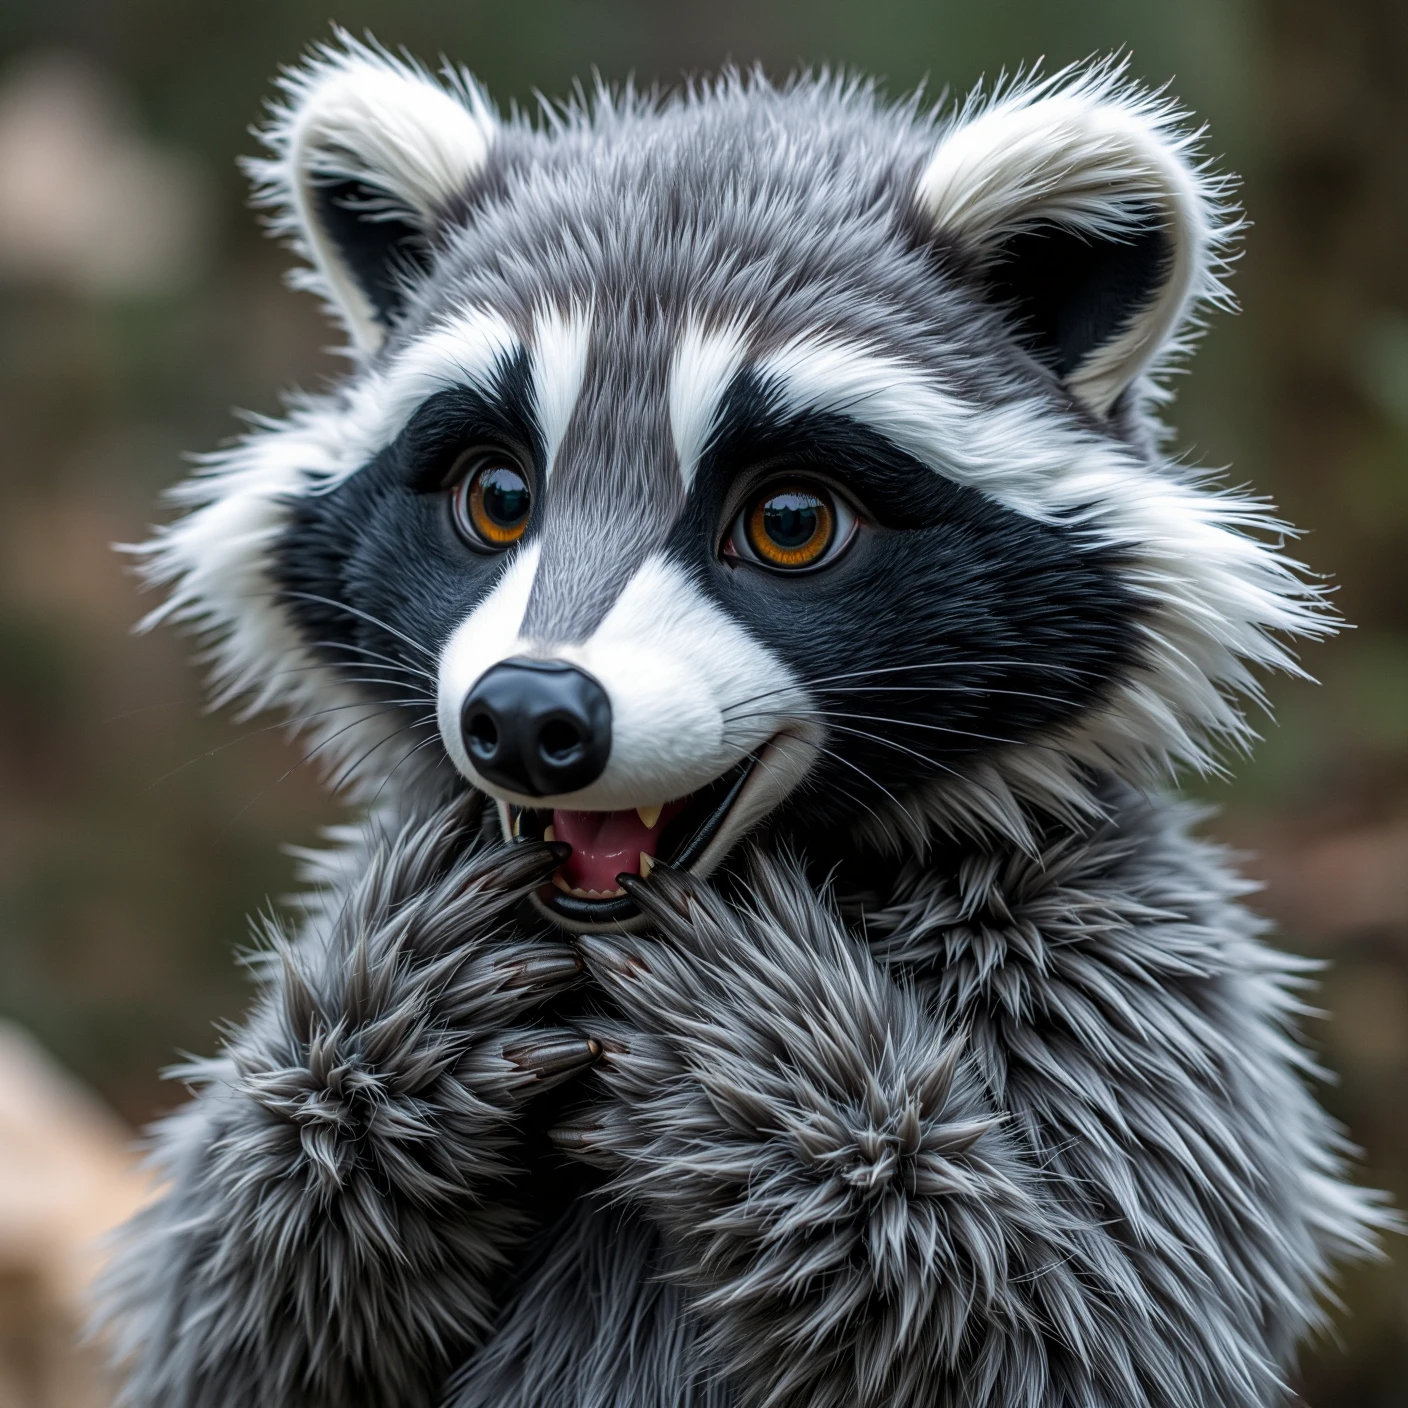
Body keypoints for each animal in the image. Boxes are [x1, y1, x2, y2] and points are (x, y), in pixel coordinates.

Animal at [99, 30, 1385, 1408]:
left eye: (789, 522)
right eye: (497, 496)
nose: (528, 714)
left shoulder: (1136, 986)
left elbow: (1085, 1327)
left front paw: (782, 1066)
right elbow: (232, 1316)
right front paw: (380, 1029)